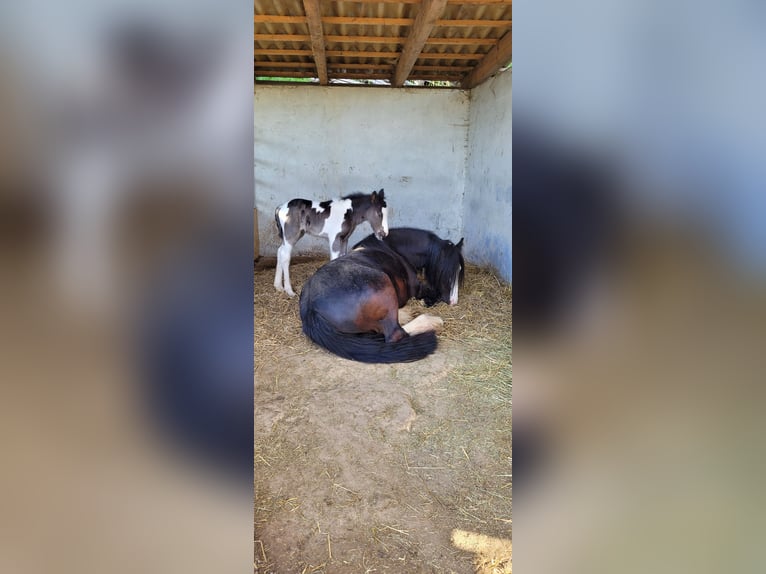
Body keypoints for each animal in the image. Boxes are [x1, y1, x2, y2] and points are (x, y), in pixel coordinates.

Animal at [300, 227, 462, 362]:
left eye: (459, 271)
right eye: (446, 273)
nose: (453, 301)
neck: (393, 248)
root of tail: (310, 306)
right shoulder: (417, 288)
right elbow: (430, 292)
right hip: (383, 284)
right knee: (395, 334)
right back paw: (431, 321)